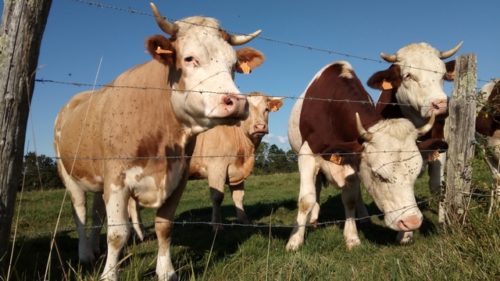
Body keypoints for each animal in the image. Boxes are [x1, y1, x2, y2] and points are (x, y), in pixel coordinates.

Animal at [53, 3, 266, 278]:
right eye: (189, 58)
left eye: (233, 66)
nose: (238, 102)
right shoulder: (117, 180)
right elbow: (117, 233)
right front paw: (109, 275)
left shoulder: (178, 178)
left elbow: (164, 227)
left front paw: (166, 272)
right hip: (69, 173)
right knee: (79, 209)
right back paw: (86, 254)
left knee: (97, 214)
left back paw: (96, 248)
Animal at [129, 91, 284, 236]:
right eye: (247, 111)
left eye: (266, 109)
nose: (260, 126)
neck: (245, 152)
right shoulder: (217, 167)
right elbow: (217, 197)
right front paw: (217, 227)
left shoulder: (236, 172)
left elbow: (239, 197)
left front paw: (244, 222)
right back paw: (140, 233)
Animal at [286, 60, 434, 249]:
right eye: (378, 175)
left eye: (416, 175)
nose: (412, 222)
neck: (330, 107)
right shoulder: (307, 154)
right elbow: (306, 200)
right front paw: (295, 240)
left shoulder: (353, 159)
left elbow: (350, 198)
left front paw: (351, 237)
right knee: (316, 188)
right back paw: (313, 219)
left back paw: (363, 217)